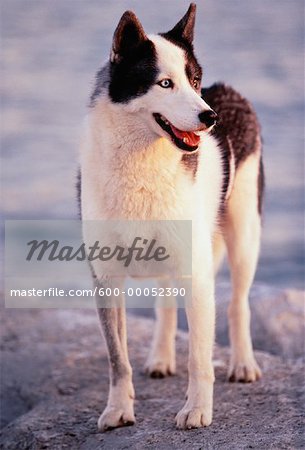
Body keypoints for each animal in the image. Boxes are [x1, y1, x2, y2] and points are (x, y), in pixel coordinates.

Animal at [79, 4, 264, 432]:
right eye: (165, 83)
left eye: (194, 80)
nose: (210, 117)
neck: (140, 163)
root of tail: (228, 91)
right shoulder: (106, 278)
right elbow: (118, 359)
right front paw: (118, 410)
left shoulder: (196, 273)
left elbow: (199, 357)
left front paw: (197, 410)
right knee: (165, 302)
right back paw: (161, 358)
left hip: (245, 235)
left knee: (238, 304)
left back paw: (243, 364)